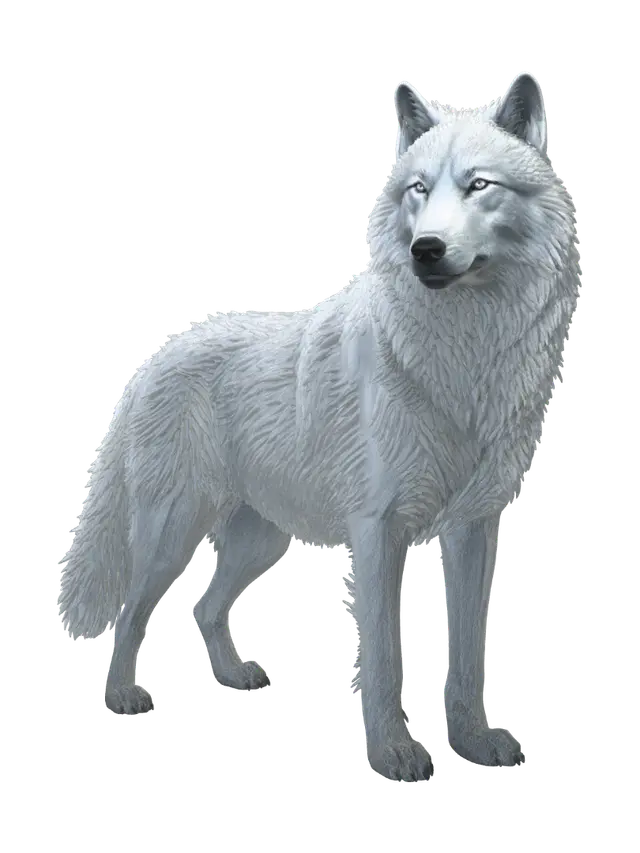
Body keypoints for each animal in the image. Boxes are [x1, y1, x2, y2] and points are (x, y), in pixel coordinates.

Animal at [57, 71, 581, 782]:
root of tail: (155, 359)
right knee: (134, 612)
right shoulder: (379, 530)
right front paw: (394, 754)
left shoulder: (473, 528)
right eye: (419, 189)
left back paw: (236, 679)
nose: (425, 250)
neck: (462, 357)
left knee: (203, 608)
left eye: (479, 185)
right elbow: (384, 658)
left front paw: (477, 743)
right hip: (174, 531)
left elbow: (470, 653)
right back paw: (125, 699)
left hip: (261, 540)